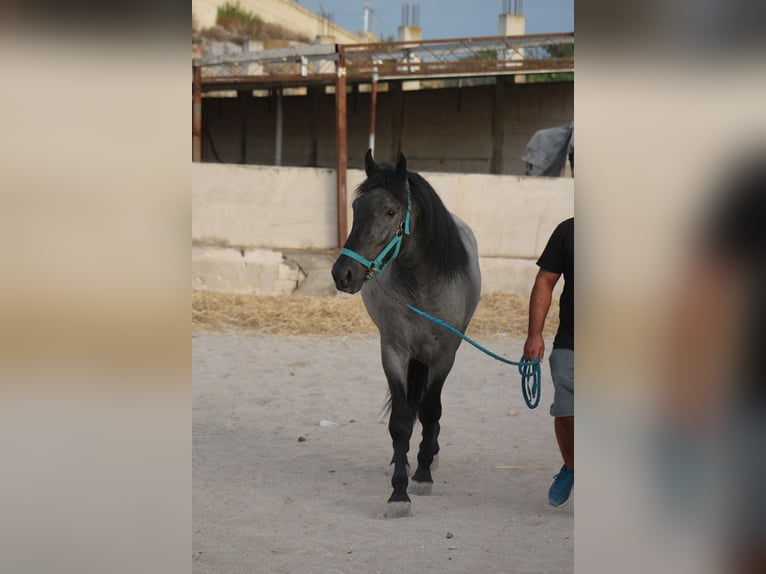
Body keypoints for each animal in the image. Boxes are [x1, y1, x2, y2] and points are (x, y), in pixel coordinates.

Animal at [331, 149, 481, 518]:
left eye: (390, 211)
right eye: (356, 208)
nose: (343, 273)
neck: (423, 286)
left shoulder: (444, 356)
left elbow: (431, 411)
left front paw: (423, 475)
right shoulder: (394, 350)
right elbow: (400, 421)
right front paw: (398, 492)